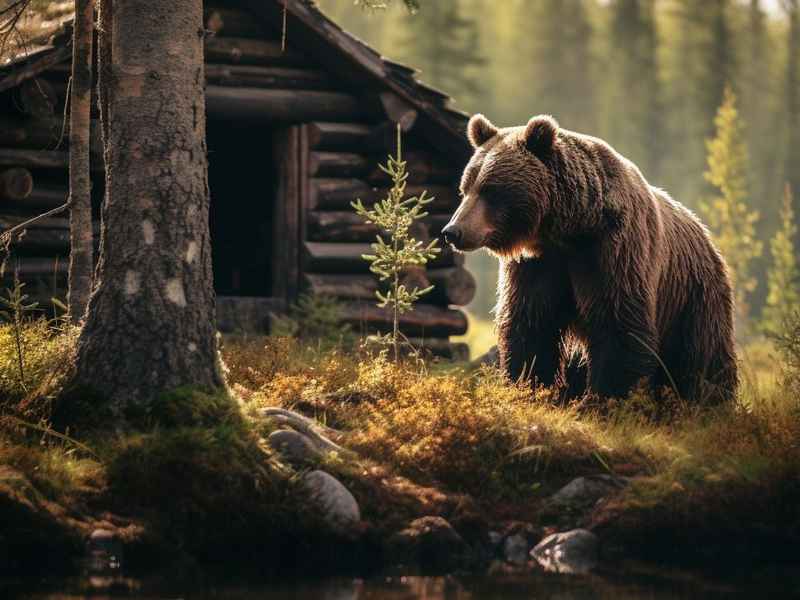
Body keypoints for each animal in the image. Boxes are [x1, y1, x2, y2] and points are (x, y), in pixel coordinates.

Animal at [442, 113, 738, 404]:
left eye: (489, 190)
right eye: (465, 189)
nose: (452, 231)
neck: (568, 231)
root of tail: (705, 235)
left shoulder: (613, 251)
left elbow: (618, 324)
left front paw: (606, 398)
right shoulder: (538, 265)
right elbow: (530, 323)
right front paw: (529, 386)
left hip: (691, 295)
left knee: (702, 354)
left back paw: (708, 400)